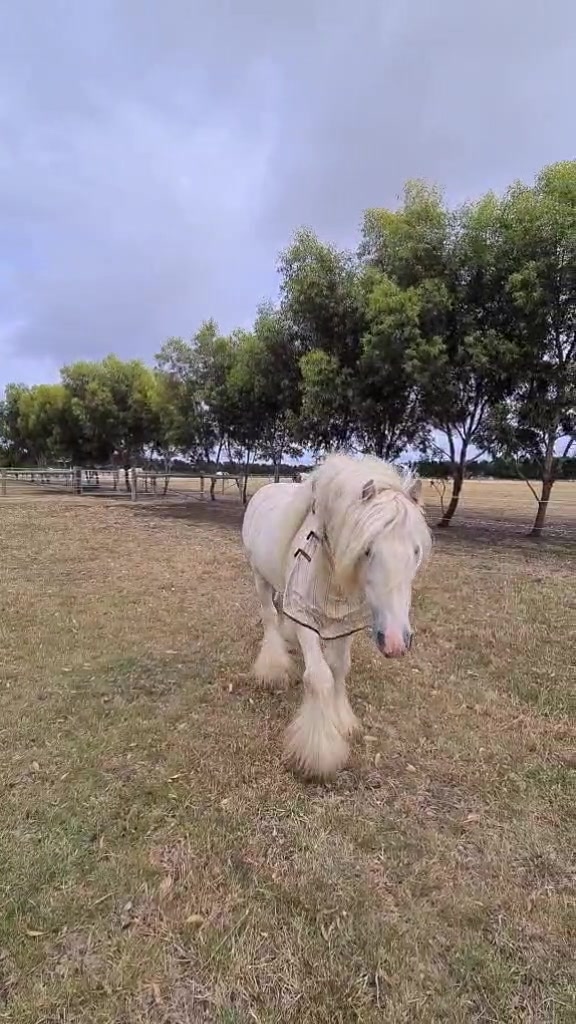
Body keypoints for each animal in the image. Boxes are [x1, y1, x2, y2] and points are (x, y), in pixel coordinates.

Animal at [241, 453, 432, 780]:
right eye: (366, 550)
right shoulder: (305, 616)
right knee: (269, 618)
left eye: (416, 551)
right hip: (259, 578)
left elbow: (340, 668)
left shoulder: (344, 622)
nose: (396, 642)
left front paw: (342, 721)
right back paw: (274, 668)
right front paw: (319, 752)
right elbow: (319, 678)